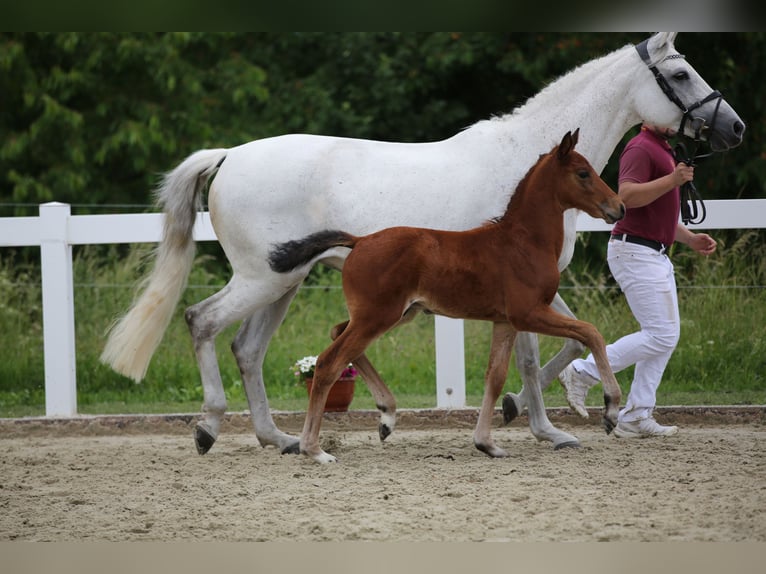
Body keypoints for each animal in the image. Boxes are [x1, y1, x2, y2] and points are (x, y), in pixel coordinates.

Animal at [268, 130, 625, 463]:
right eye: (583, 173)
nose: (618, 208)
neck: (524, 241)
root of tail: (360, 241)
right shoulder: (529, 313)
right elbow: (591, 332)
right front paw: (610, 411)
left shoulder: (505, 322)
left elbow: (495, 377)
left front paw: (487, 444)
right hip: (378, 316)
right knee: (329, 362)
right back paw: (315, 449)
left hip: (393, 314)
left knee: (338, 333)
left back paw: (386, 415)